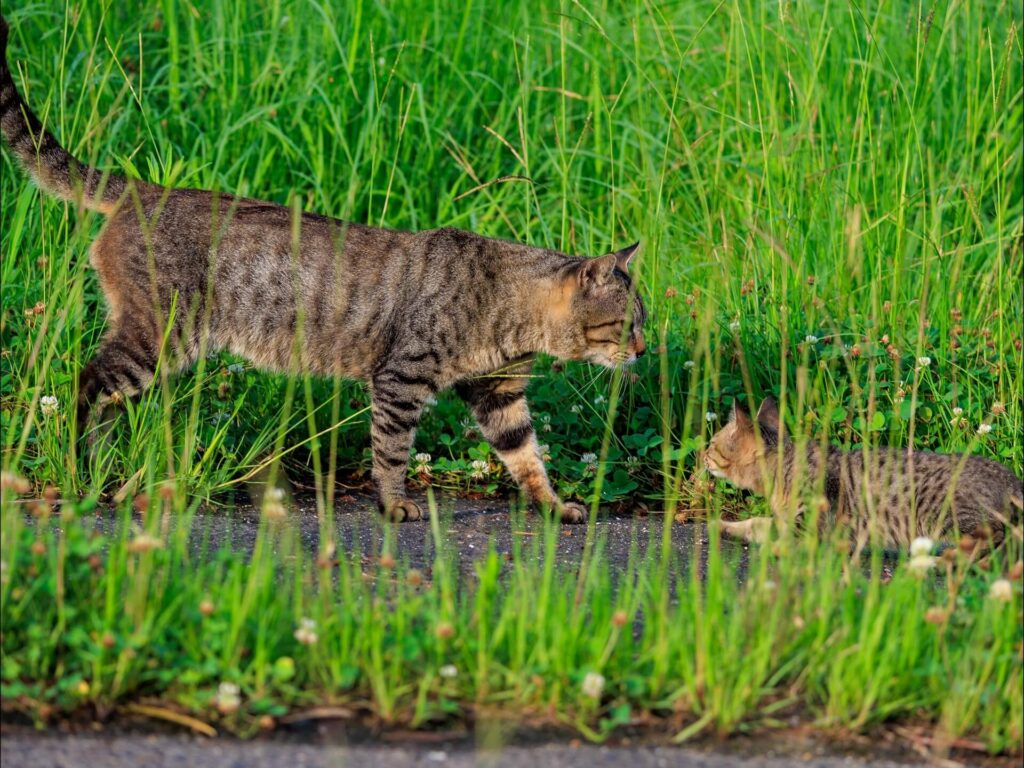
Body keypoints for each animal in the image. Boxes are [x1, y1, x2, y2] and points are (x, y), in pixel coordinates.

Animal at [0, 16, 643, 524]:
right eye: (628, 323)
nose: (642, 350)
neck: (509, 311)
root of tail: (146, 187)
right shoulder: (401, 378)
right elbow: (391, 451)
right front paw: (394, 504)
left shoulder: (499, 392)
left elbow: (527, 457)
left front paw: (553, 506)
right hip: (157, 333)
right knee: (84, 382)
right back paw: (82, 467)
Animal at [704, 399, 1024, 548]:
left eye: (711, 444)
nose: (702, 455)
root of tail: (1010, 476)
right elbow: (754, 522)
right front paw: (720, 525)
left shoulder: (805, 528)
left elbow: (761, 526)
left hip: (943, 514)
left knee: (999, 536)